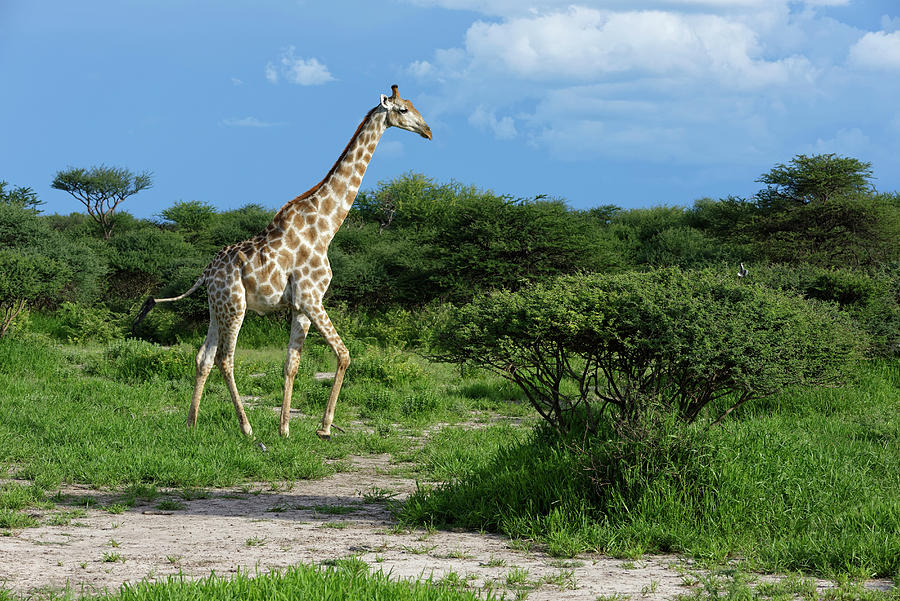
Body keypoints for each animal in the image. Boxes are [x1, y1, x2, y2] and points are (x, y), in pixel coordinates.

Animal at [135, 85, 434, 436]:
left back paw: (191, 423)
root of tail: (206, 273)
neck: (326, 228)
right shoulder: (311, 297)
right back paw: (246, 428)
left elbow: (292, 364)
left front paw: (285, 429)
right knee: (225, 358)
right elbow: (344, 354)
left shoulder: (300, 305)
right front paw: (324, 428)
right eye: (402, 110)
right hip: (235, 306)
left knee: (203, 357)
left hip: (216, 307)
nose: (428, 131)